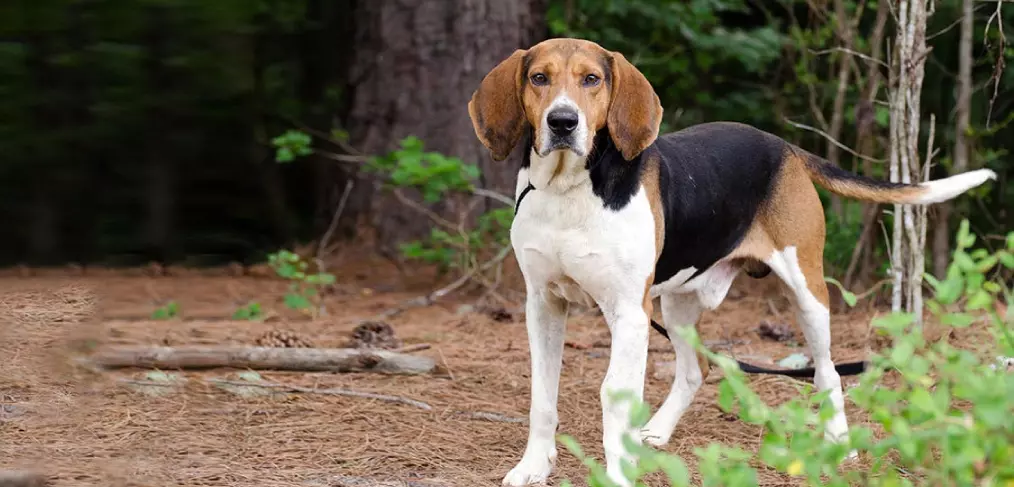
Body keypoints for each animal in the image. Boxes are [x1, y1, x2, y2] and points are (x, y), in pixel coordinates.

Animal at [468, 36, 997, 484]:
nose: (562, 122)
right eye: (539, 78)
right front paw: (533, 467)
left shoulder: (629, 314)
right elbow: (543, 395)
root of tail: (784, 146)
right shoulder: (543, 304)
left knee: (826, 372)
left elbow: (613, 396)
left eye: (591, 80)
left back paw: (840, 444)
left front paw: (617, 474)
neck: (569, 189)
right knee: (694, 370)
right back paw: (657, 430)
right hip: (677, 303)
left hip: (807, 291)